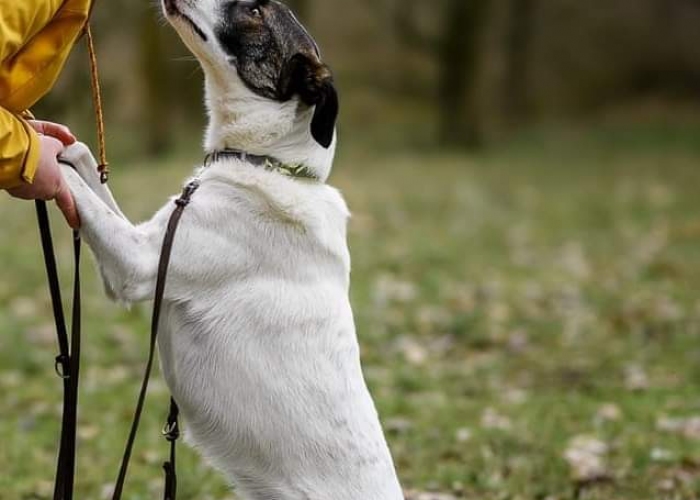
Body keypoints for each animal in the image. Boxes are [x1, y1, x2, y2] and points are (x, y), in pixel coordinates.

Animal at [60, 0, 404, 500]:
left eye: (256, 10)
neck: (270, 164)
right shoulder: (146, 240)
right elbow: (87, 167)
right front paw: (55, 140)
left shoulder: (137, 264)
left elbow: (77, 190)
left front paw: (32, 145)